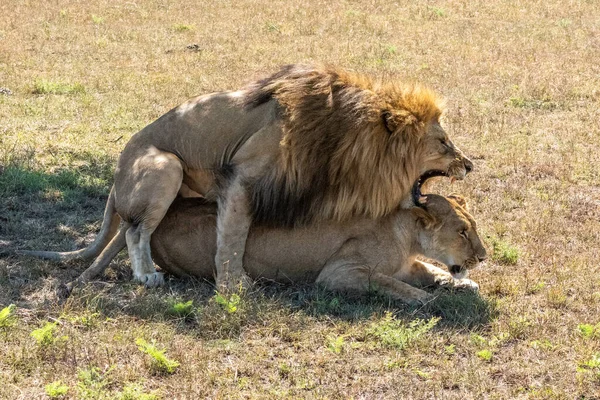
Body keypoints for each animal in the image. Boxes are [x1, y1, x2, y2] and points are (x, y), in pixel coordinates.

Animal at [22, 64, 474, 292]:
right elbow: (233, 236)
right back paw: (146, 274)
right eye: (443, 142)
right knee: (136, 232)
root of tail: (116, 181)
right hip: (166, 165)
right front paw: (233, 284)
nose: (469, 165)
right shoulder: (242, 177)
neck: (345, 141)